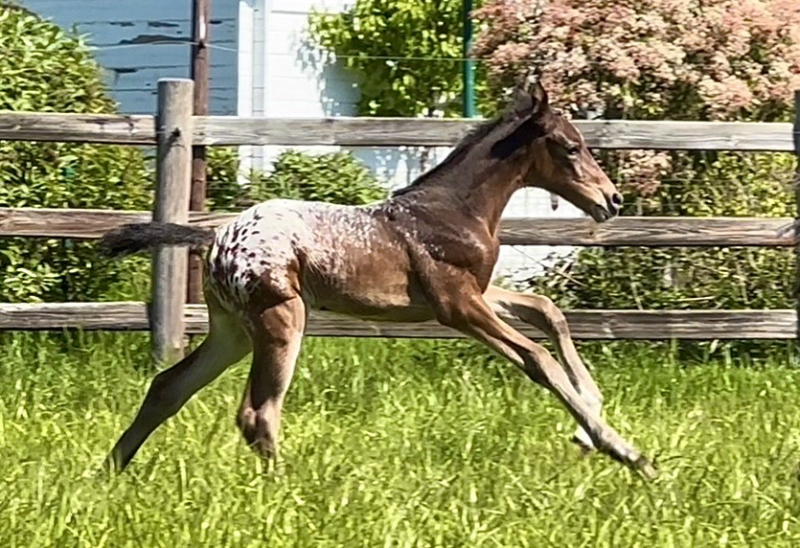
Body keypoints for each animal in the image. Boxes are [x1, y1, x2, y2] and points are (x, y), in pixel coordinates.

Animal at [99, 80, 656, 479]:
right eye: (570, 147)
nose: (612, 200)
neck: (456, 210)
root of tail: (215, 236)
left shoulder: (473, 292)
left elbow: (547, 310)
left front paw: (590, 424)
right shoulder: (457, 305)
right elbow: (537, 357)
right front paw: (622, 449)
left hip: (232, 330)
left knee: (169, 386)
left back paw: (109, 470)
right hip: (281, 318)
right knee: (257, 413)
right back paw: (290, 491)